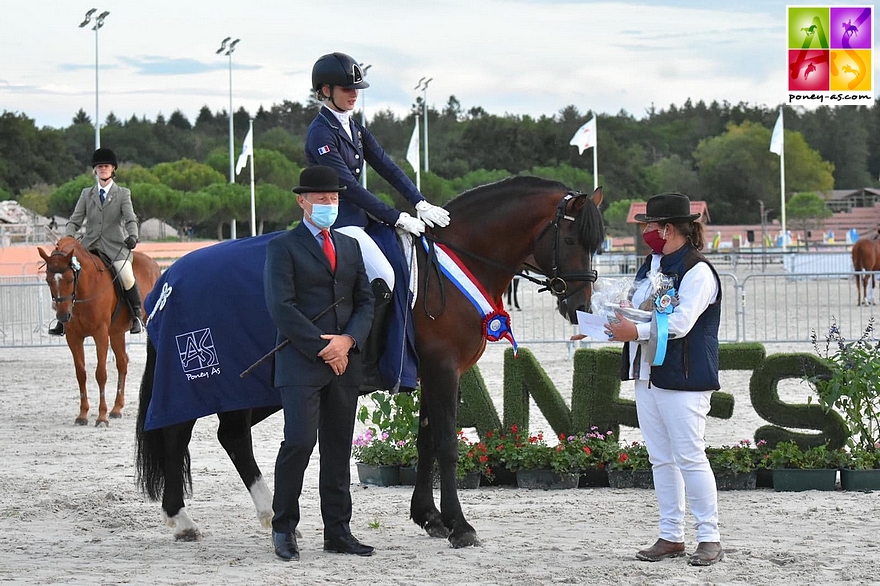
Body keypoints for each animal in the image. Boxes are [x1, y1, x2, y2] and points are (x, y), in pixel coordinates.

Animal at [37, 236, 161, 424]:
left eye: (70, 279)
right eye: (48, 280)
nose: (63, 316)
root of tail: (153, 263)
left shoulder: (100, 334)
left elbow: (100, 373)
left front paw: (102, 416)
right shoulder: (73, 337)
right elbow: (81, 373)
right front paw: (82, 415)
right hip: (116, 332)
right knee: (122, 362)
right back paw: (117, 409)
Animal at [136, 177, 604, 544]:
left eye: (594, 245)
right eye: (570, 240)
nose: (580, 305)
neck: (453, 263)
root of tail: (168, 279)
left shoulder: (431, 373)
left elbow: (426, 441)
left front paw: (429, 517)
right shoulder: (443, 370)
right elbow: (447, 444)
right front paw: (460, 526)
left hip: (248, 390)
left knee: (230, 435)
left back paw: (267, 513)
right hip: (201, 381)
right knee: (177, 432)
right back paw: (182, 519)